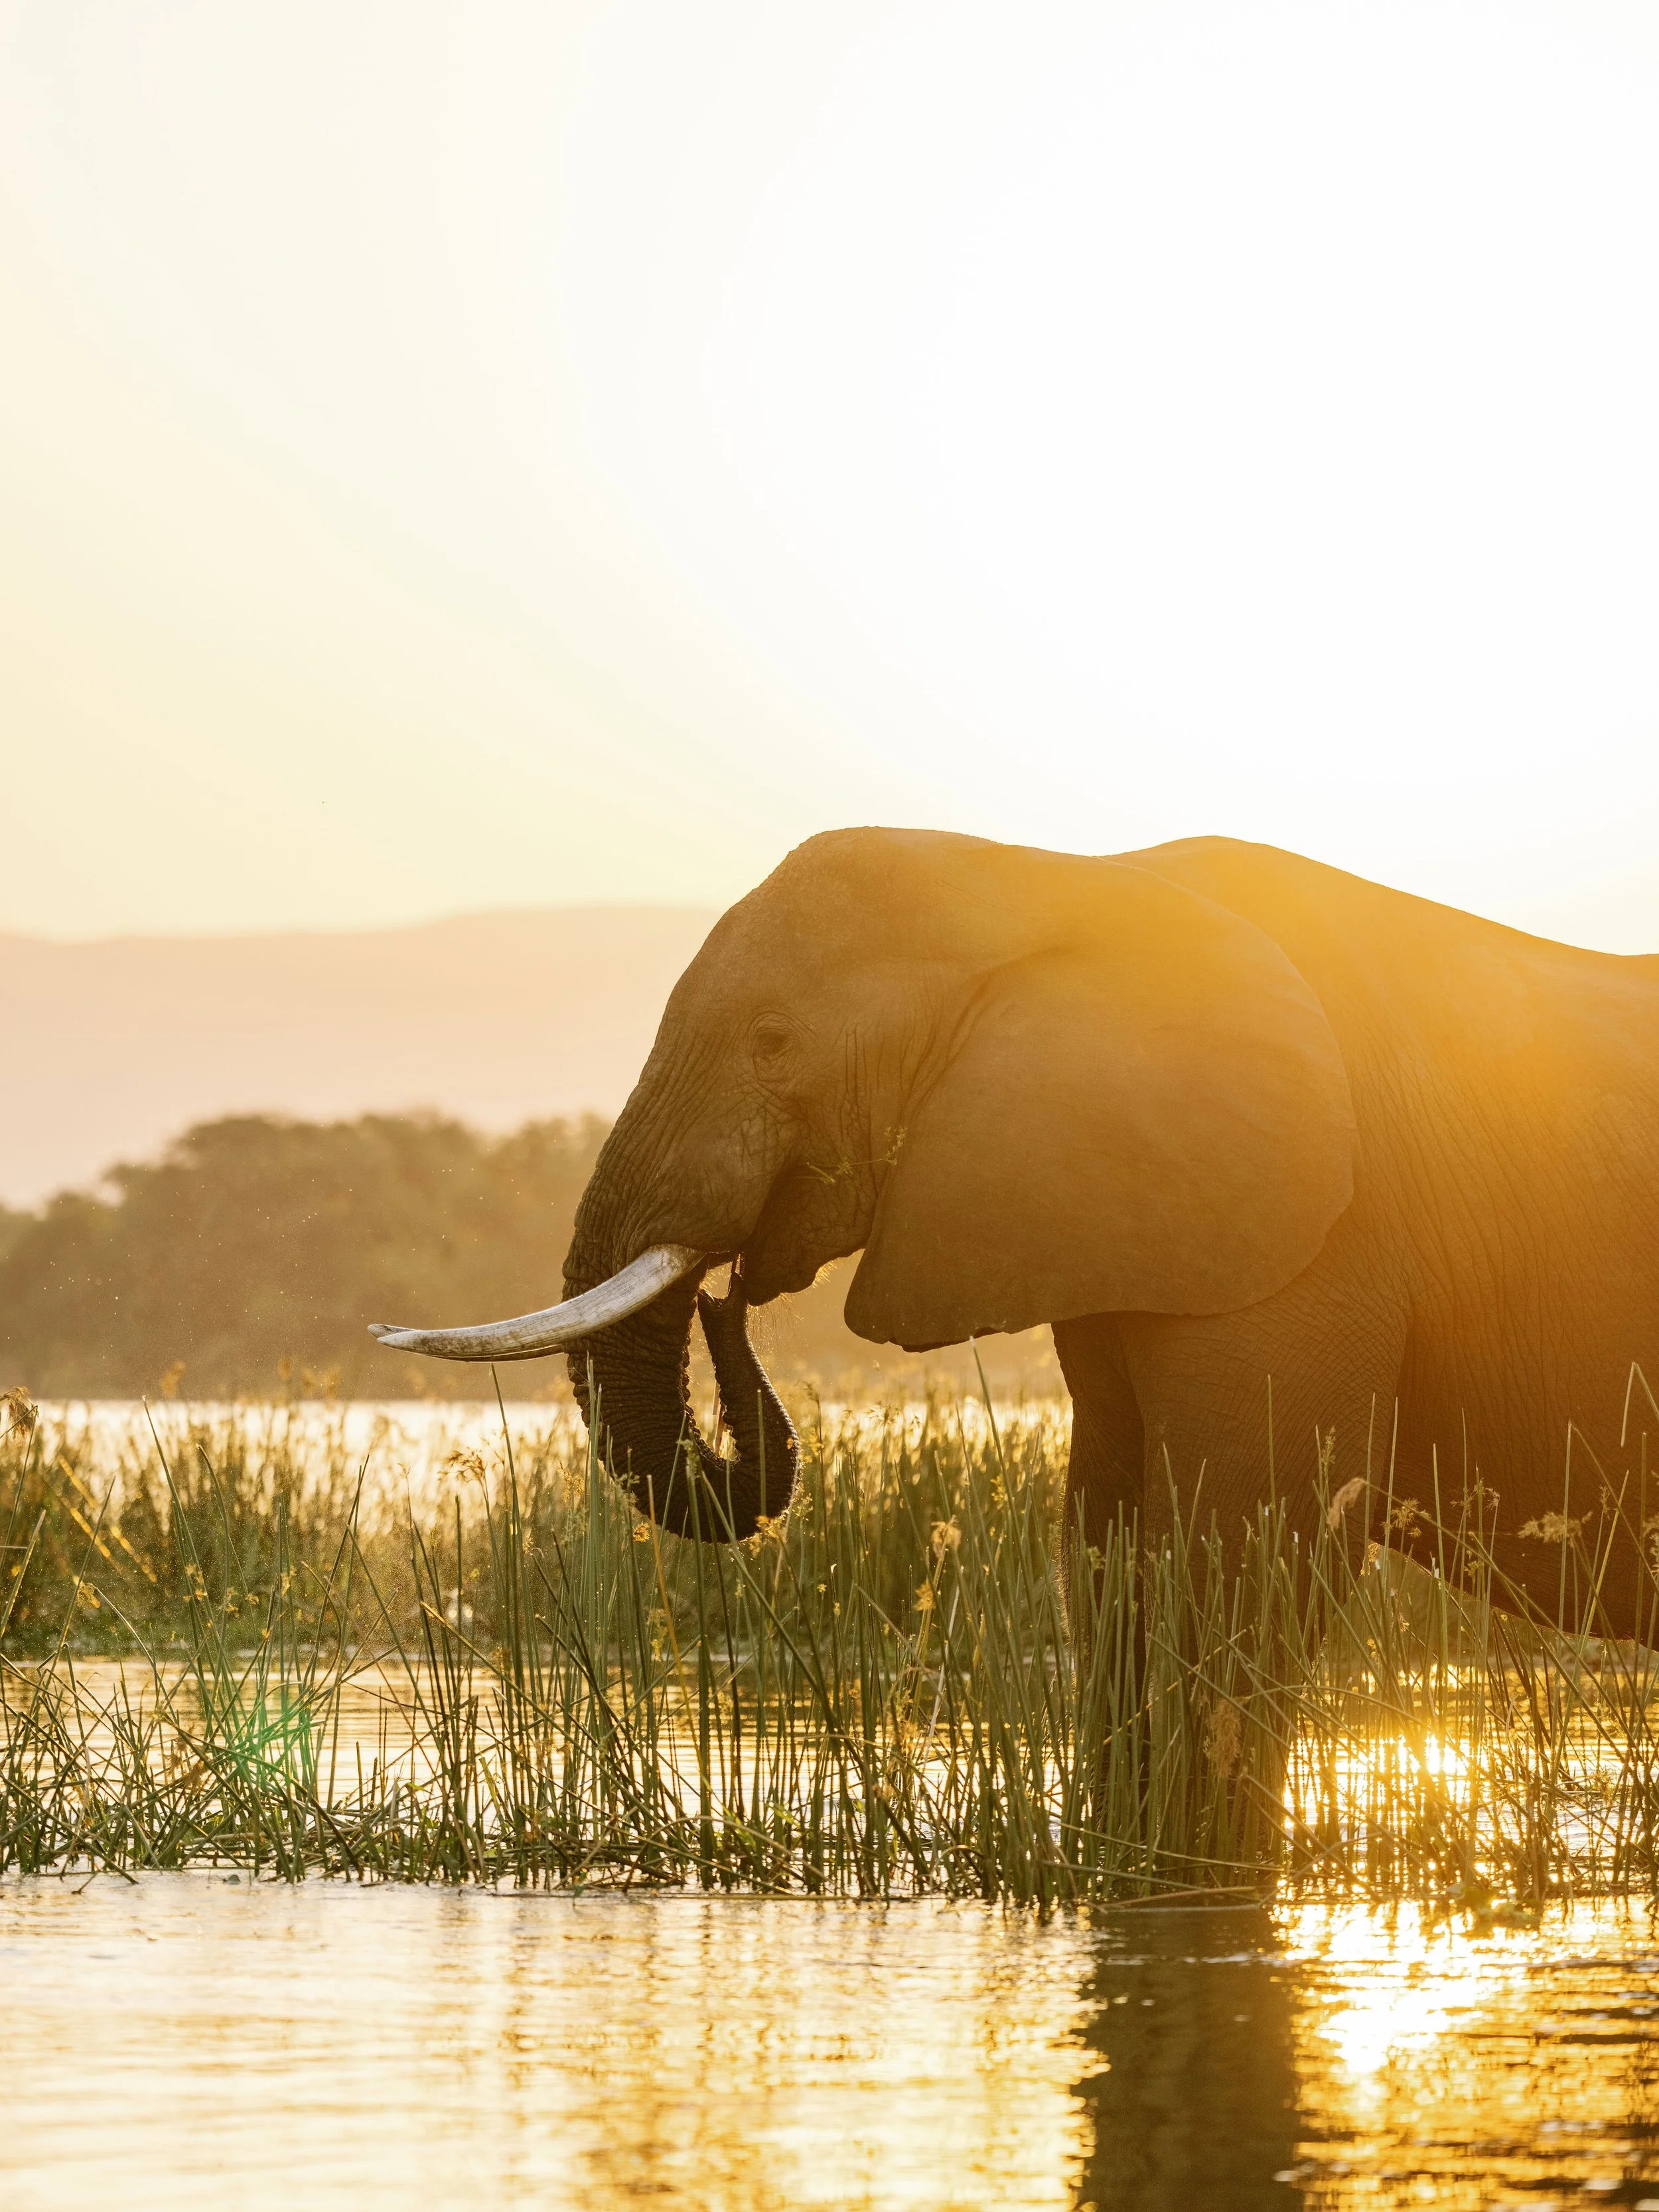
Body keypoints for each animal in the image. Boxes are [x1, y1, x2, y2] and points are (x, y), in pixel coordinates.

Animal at [373, 829, 1659, 1631]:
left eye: (774, 1041)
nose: (730, 1296)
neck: (1051, 881)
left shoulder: (1322, 1236)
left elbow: (1245, 1563)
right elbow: (1111, 1556)